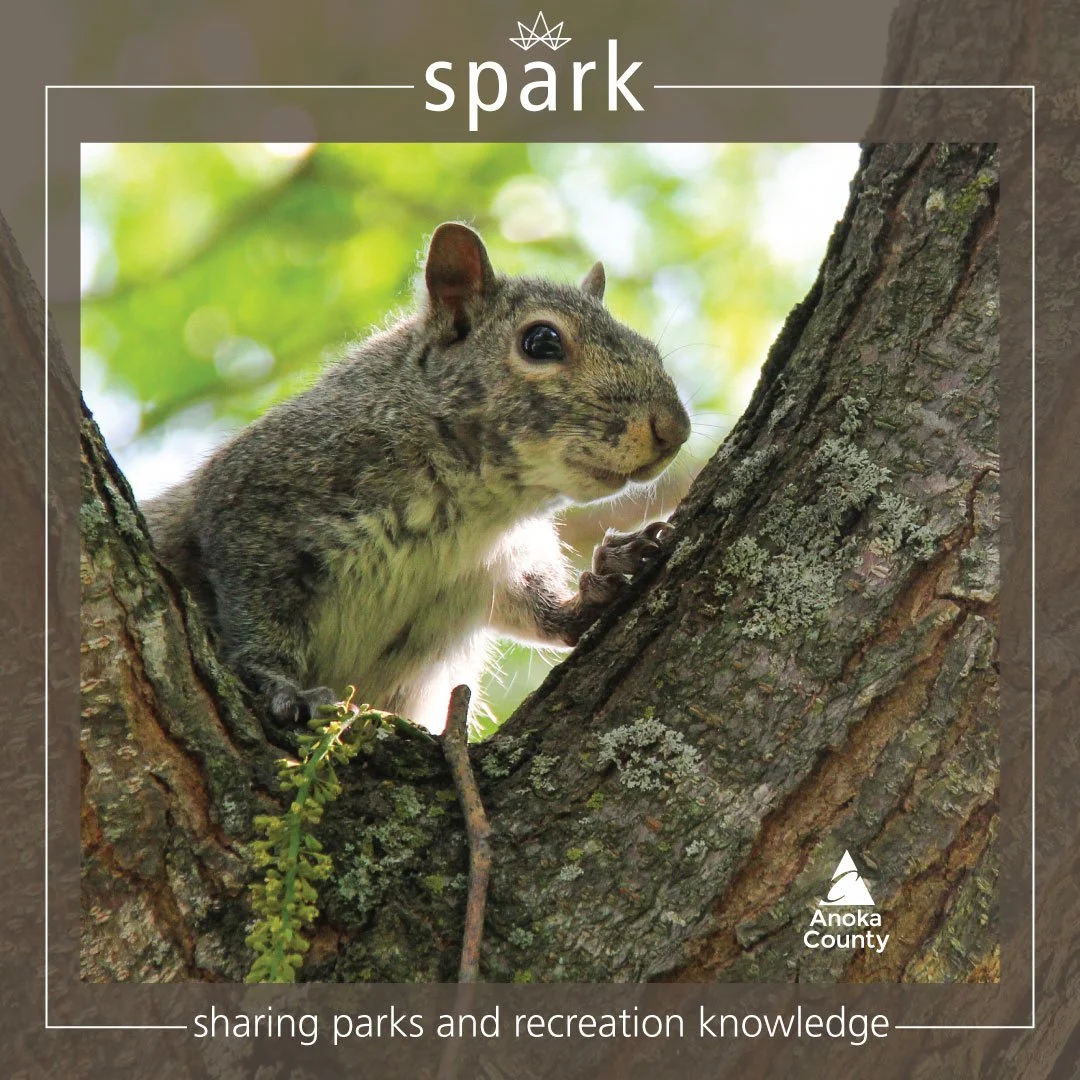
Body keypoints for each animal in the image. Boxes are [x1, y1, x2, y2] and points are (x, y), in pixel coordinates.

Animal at [143, 223, 691, 734]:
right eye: (541, 341)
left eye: (650, 348)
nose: (674, 429)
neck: (473, 513)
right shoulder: (253, 503)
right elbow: (254, 616)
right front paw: (281, 685)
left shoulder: (495, 570)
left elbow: (542, 610)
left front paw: (607, 575)